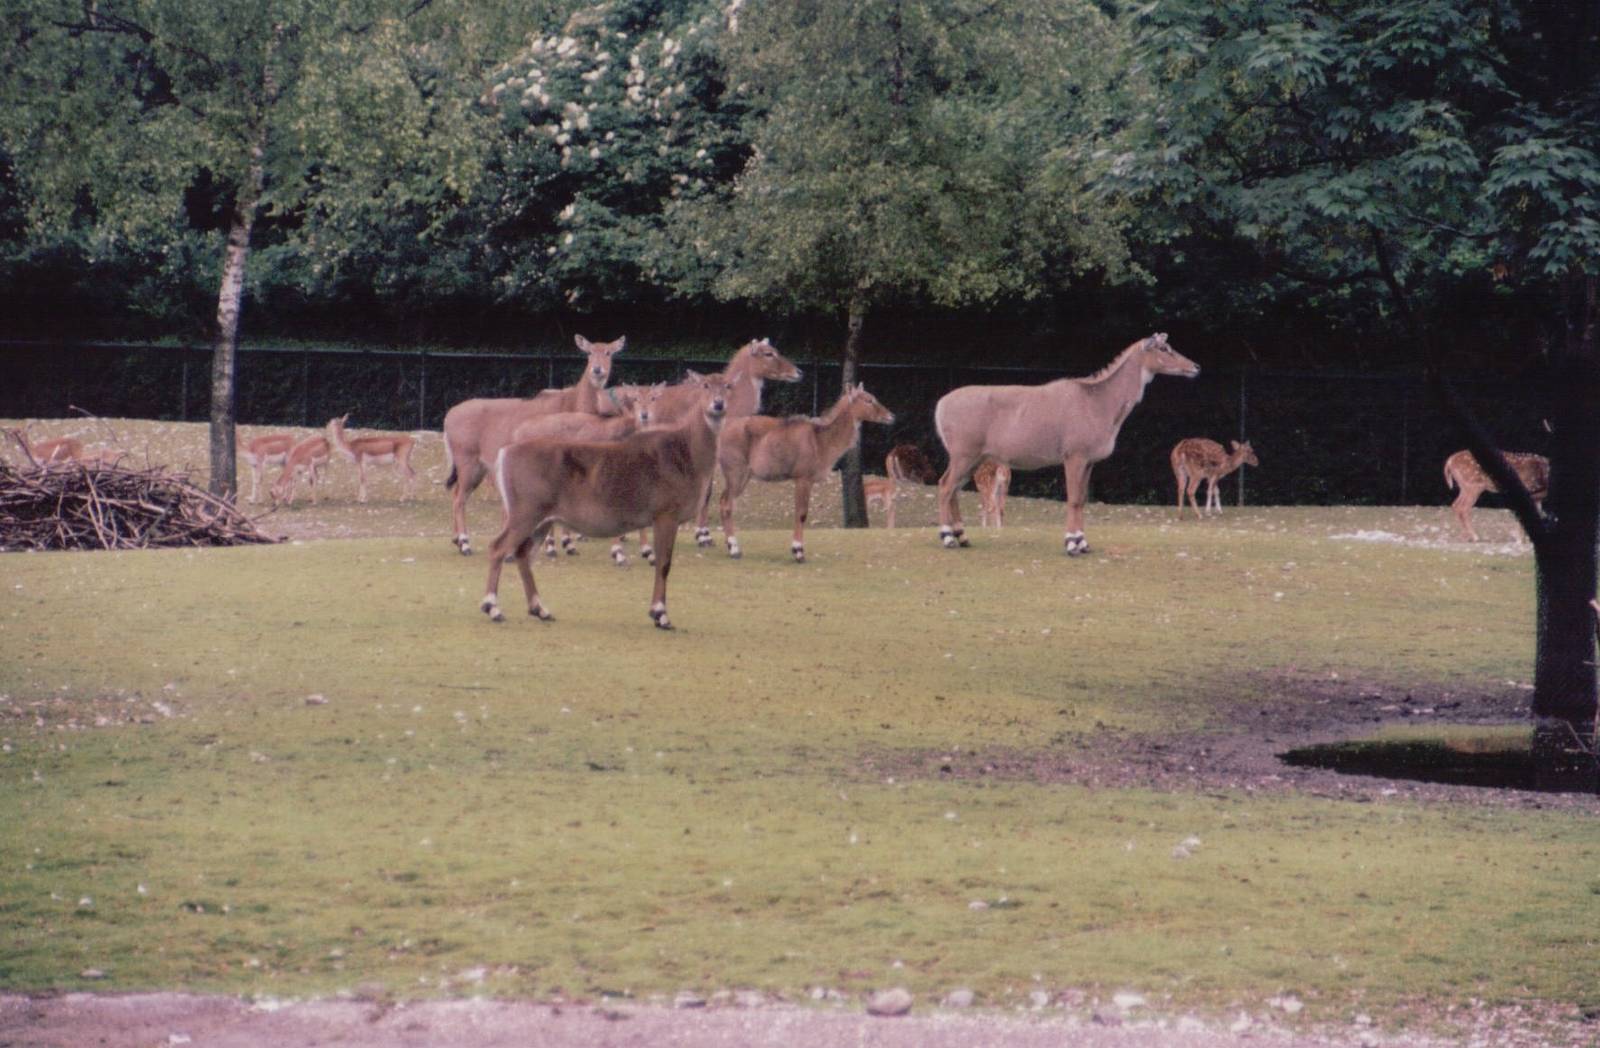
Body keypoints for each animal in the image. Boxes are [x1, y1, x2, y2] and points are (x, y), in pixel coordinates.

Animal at [443, 334, 625, 554]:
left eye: (608, 352)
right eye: (589, 352)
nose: (597, 370)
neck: (573, 403)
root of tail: (449, 416)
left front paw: (567, 543)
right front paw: (554, 545)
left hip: (479, 468)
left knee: (455, 494)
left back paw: (456, 539)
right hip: (467, 462)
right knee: (459, 499)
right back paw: (465, 543)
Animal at [480, 371, 737, 631]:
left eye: (728, 386)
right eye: (705, 385)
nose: (718, 404)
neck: (689, 455)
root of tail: (503, 454)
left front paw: (657, 612)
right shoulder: (665, 512)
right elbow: (664, 563)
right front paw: (660, 615)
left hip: (542, 516)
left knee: (522, 553)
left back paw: (540, 609)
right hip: (525, 509)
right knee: (497, 546)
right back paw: (492, 608)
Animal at [715, 384, 895, 562]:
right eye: (868, 400)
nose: (891, 416)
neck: (822, 441)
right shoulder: (803, 478)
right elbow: (801, 513)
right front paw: (798, 552)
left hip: (742, 476)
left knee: (723, 501)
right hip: (736, 472)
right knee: (726, 503)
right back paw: (734, 549)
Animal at [935, 333, 1200, 555]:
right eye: (1164, 348)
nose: (1195, 367)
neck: (1100, 403)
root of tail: (940, 406)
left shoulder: (1090, 461)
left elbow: (1081, 499)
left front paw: (1083, 542)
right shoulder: (1074, 455)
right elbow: (1073, 498)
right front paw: (1072, 543)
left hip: (973, 458)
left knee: (953, 488)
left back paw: (962, 536)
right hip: (964, 454)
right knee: (946, 486)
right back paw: (947, 537)